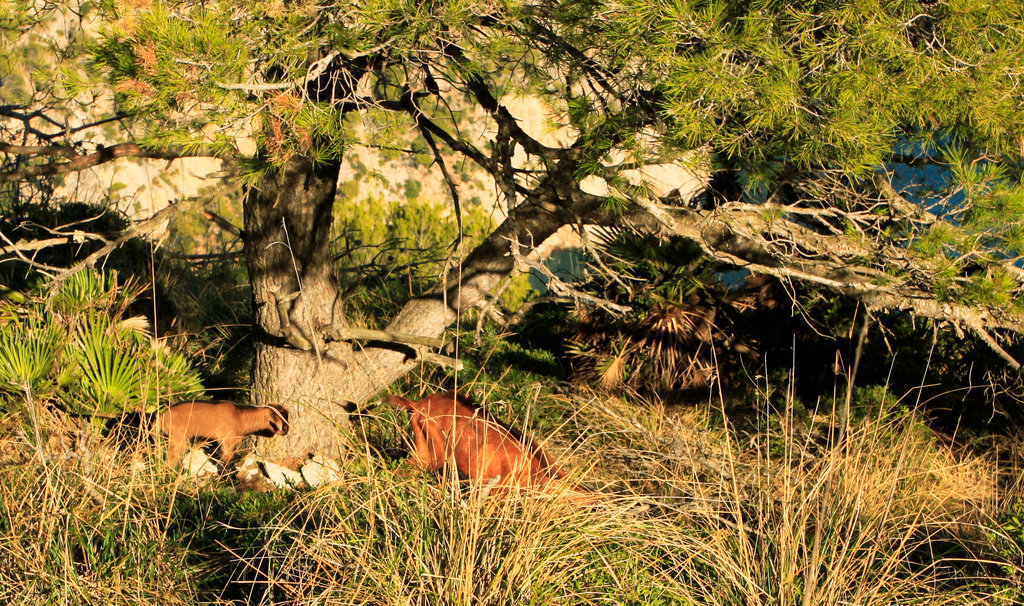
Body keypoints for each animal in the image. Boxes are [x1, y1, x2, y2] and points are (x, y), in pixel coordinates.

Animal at [151, 399, 290, 466]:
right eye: (281, 419)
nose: (286, 430)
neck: (240, 417)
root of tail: (161, 416)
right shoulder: (228, 442)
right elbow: (228, 463)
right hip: (178, 438)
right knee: (171, 459)